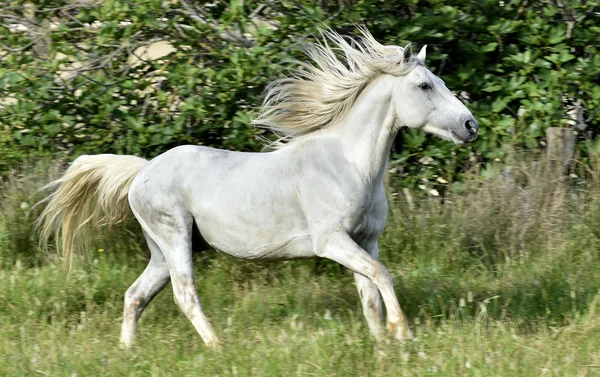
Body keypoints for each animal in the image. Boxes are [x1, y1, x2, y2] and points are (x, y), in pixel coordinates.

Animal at [36, 27, 478, 350]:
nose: (470, 125)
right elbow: (382, 276)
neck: (348, 164)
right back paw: (217, 347)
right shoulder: (332, 241)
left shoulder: (366, 240)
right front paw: (402, 333)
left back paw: (129, 351)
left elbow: (370, 295)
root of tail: (144, 170)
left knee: (136, 295)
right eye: (425, 86)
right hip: (174, 237)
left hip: (161, 250)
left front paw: (382, 344)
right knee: (184, 294)